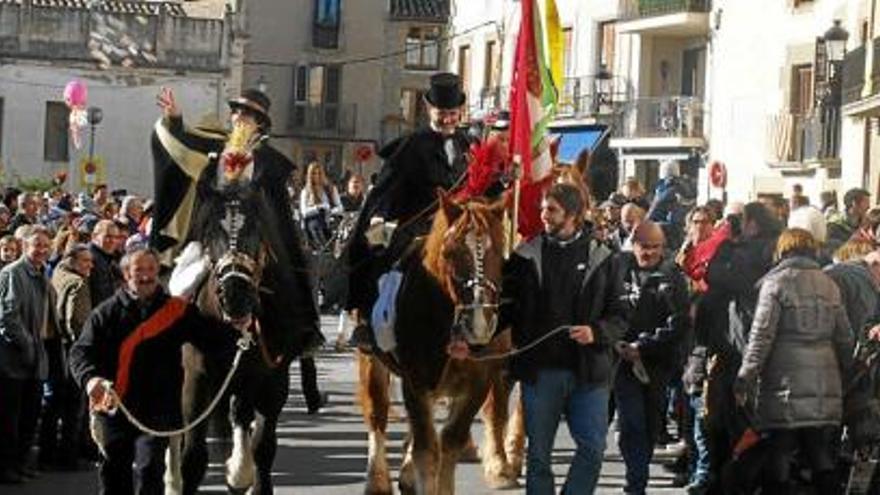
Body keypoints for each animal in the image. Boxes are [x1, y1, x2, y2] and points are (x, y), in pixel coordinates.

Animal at [358, 192, 524, 494]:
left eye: (499, 254)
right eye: (449, 253)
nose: (478, 323)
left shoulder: (478, 383)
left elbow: (450, 441)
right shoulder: (416, 381)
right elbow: (427, 449)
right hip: (371, 357)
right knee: (377, 411)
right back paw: (377, 480)